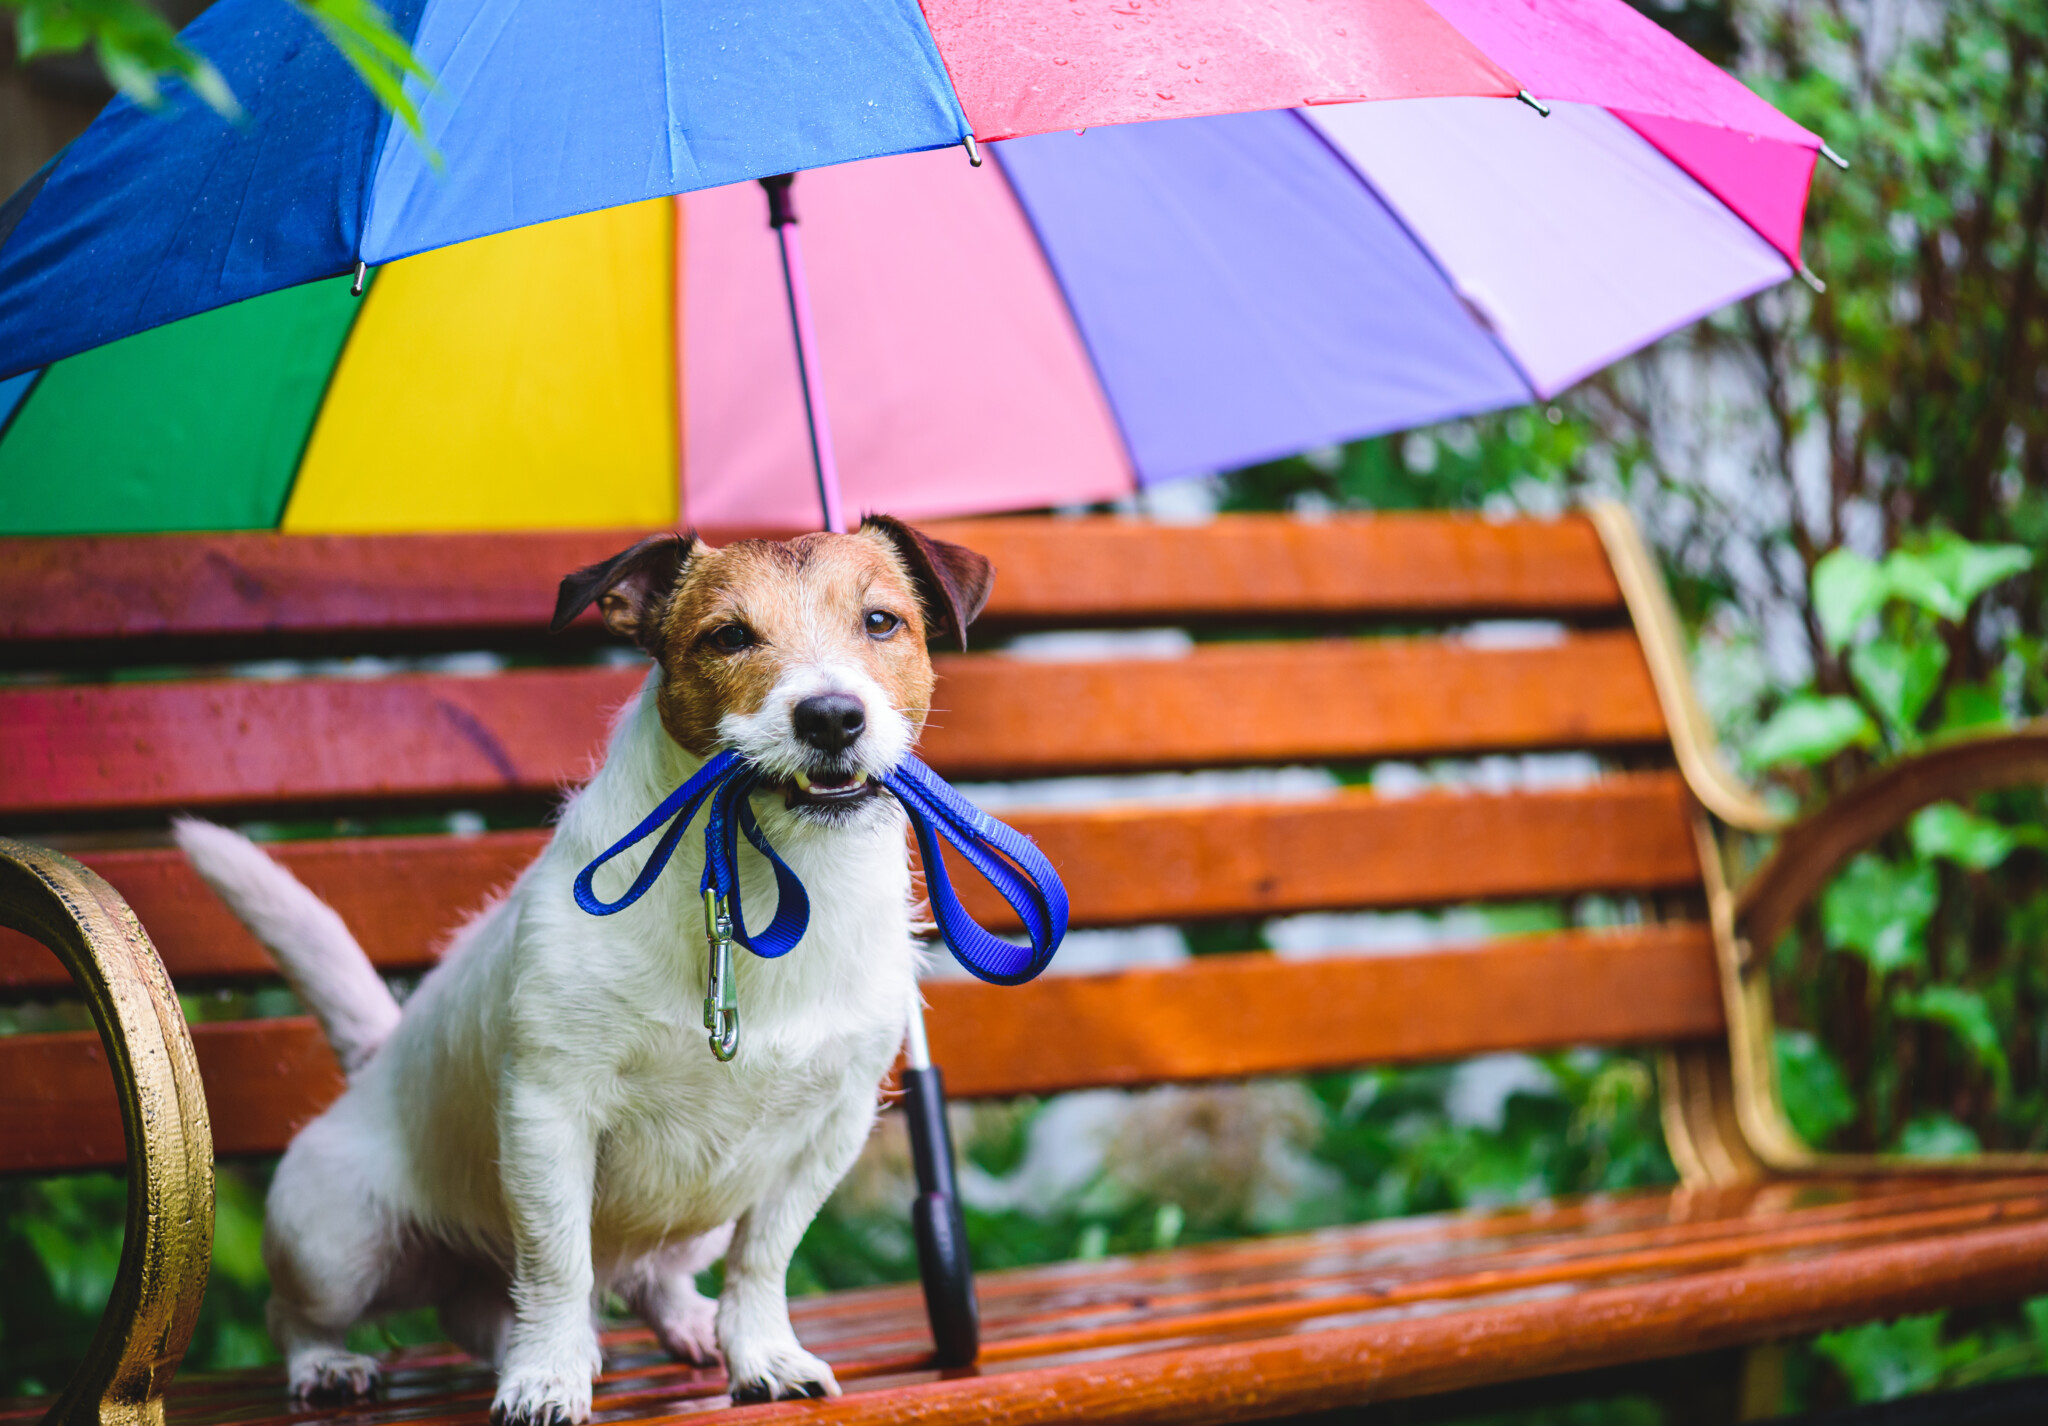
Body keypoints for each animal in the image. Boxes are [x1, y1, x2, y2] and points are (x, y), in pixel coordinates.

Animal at [180, 514, 995, 1417]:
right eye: (730, 636)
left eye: (881, 622)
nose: (831, 717)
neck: (765, 883)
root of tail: (373, 1063)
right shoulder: (549, 1111)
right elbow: (556, 1264)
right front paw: (545, 1376)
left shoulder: (831, 1128)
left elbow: (764, 1259)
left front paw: (762, 1353)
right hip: (334, 1242)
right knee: (301, 1314)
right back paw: (329, 1366)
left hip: (693, 1216)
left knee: (637, 1279)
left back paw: (688, 1326)